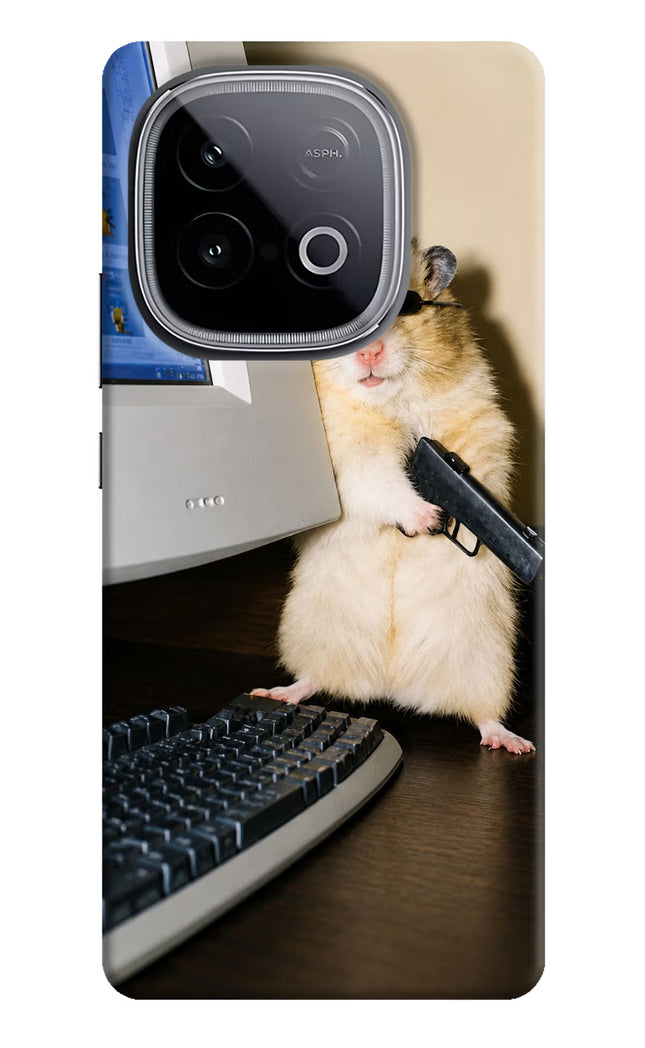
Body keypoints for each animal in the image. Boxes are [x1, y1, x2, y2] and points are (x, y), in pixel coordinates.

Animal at [252, 242, 534, 754]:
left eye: (410, 305)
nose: (369, 352)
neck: (391, 399)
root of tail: (393, 686)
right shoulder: (349, 459)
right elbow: (381, 482)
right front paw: (428, 517)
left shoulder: (482, 427)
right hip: (311, 632)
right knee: (312, 678)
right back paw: (276, 692)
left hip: (488, 661)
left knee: (484, 714)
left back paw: (513, 742)